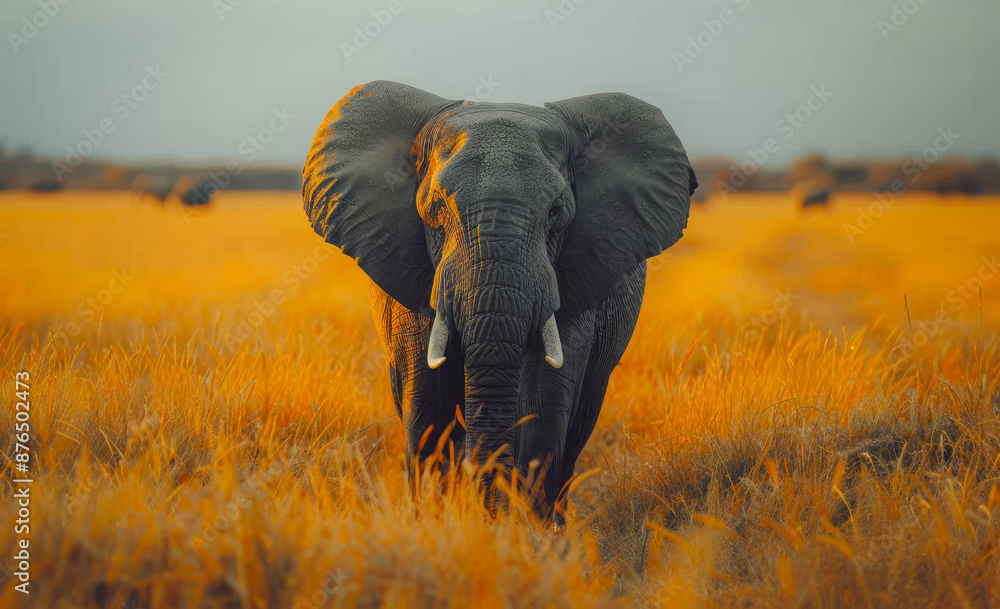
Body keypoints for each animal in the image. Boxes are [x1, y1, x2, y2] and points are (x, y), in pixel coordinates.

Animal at [302, 81, 697, 517]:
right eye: (436, 207)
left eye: (557, 212)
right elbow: (427, 397)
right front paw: (439, 520)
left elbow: (544, 394)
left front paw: (521, 527)